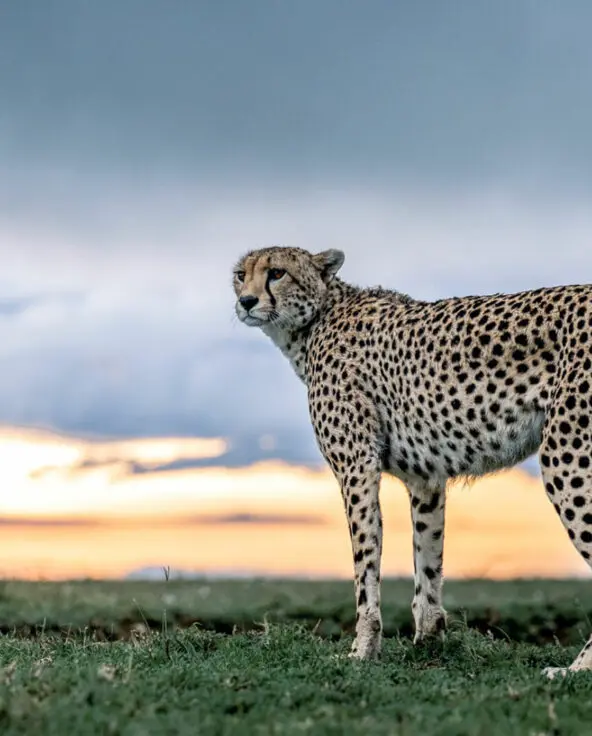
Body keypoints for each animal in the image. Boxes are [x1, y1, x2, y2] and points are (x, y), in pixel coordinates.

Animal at [232, 244, 592, 679]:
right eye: (240, 275)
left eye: (277, 273)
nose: (246, 301)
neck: (316, 320)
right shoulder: (426, 479)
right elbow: (428, 561)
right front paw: (428, 643)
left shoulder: (356, 467)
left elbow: (365, 566)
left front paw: (362, 651)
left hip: (566, 456)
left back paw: (578, 668)